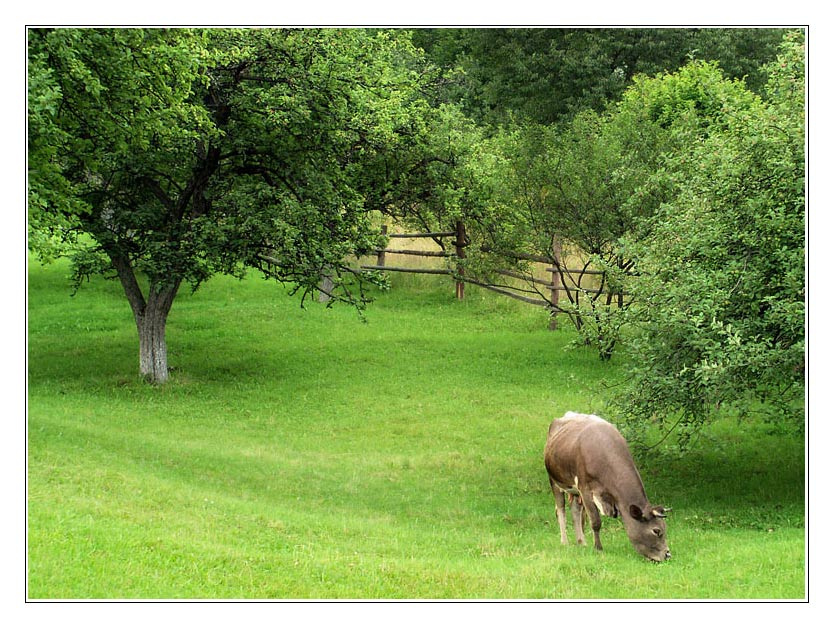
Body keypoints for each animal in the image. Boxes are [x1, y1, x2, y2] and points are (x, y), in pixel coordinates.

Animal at [544, 412, 671, 562]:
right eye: (656, 531)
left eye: (665, 528)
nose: (667, 554)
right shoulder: (585, 489)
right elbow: (595, 521)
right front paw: (598, 548)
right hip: (554, 481)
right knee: (561, 510)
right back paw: (565, 542)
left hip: (573, 489)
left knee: (575, 511)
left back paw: (581, 542)